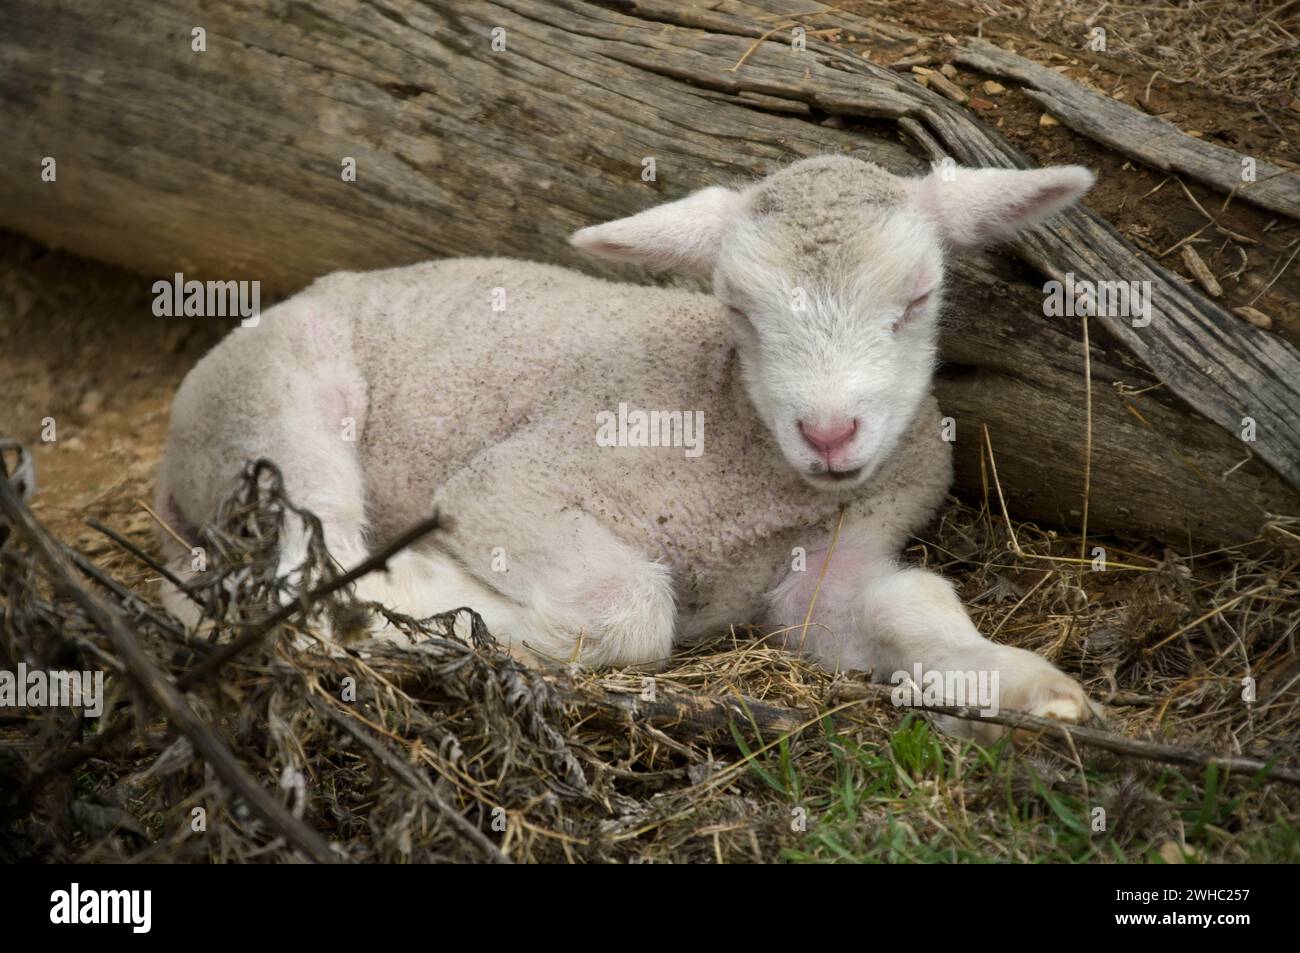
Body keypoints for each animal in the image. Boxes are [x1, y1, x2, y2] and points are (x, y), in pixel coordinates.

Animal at [159, 154, 1097, 738]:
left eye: (919, 297)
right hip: (273, 410)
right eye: (737, 308)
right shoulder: (510, 485)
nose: (829, 433)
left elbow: (912, 602)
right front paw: (441, 595)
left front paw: (1021, 689)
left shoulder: (835, 561)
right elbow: (631, 606)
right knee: (290, 572)